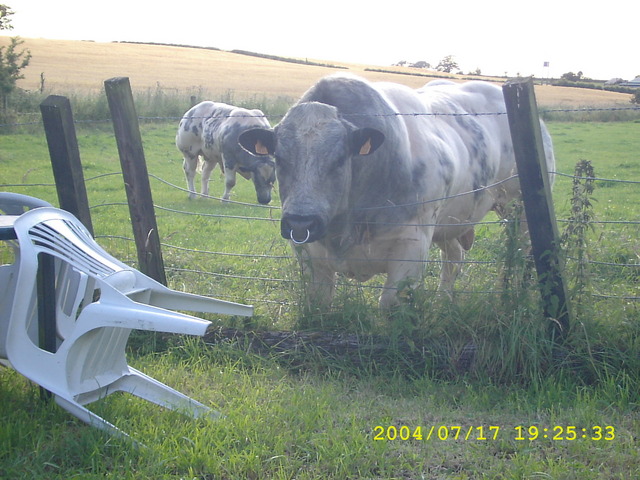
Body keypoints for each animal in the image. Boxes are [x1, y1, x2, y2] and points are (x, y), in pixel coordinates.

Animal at [239, 74, 555, 310]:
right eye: (279, 158)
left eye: (340, 159)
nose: (300, 222)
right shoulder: (308, 252)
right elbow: (319, 301)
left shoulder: (412, 246)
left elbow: (391, 302)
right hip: (450, 223)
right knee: (454, 259)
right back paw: (443, 301)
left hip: (519, 210)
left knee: (521, 256)